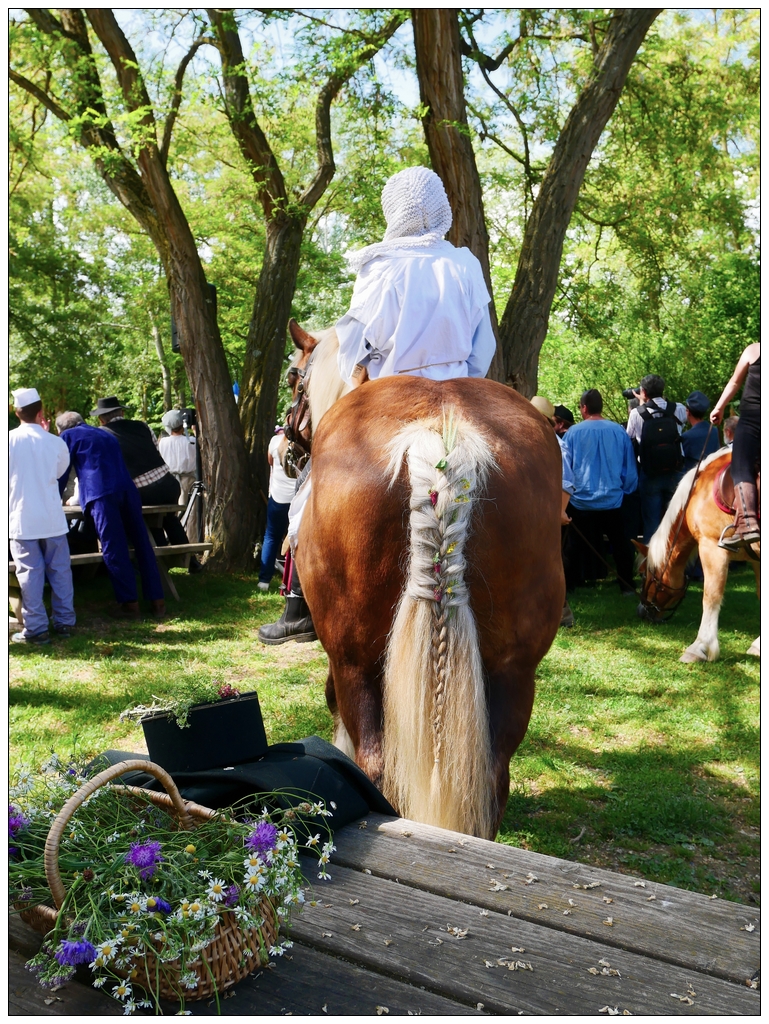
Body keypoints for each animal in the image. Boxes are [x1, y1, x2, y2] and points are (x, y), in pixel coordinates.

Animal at [280, 319, 561, 839]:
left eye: (294, 377)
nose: (287, 452)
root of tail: (441, 434)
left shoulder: (342, 660)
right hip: (515, 671)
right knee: (492, 781)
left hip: (355, 659)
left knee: (375, 767)